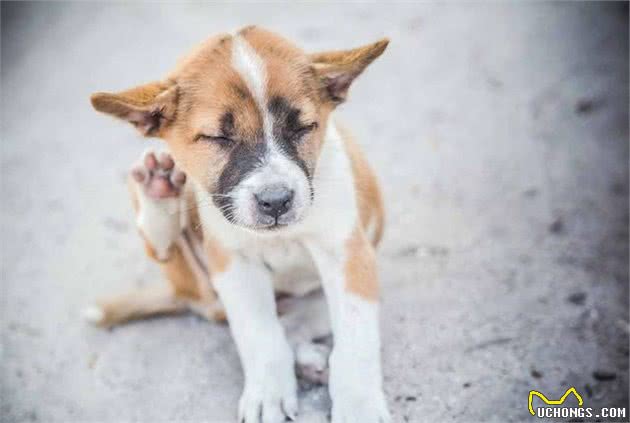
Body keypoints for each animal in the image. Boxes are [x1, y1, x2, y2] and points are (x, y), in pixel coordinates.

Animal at [86, 27, 392, 423]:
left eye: (304, 128)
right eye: (218, 137)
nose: (276, 201)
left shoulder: (349, 255)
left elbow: (355, 340)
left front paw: (359, 405)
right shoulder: (233, 263)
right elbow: (258, 333)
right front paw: (268, 392)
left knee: (297, 321)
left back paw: (310, 359)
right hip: (194, 241)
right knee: (170, 254)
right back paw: (157, 191)